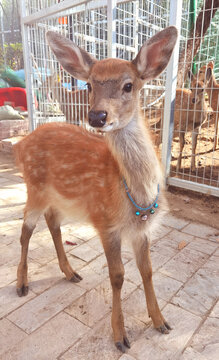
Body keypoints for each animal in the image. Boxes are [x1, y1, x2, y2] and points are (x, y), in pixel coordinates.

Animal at [14, 26, 177, 352]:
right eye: (89, 85)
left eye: (129, 85)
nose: (97, 117)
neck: (134, 194)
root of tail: (21, 144)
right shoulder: (106, 223)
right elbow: (118, 276)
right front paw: (120, 337)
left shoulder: (142, 229)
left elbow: (147, 271)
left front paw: (161, 321)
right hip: (34, 188)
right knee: (25, 231)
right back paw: (22, 283)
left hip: (59, 197)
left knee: (52, 223)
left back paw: (70, 272)